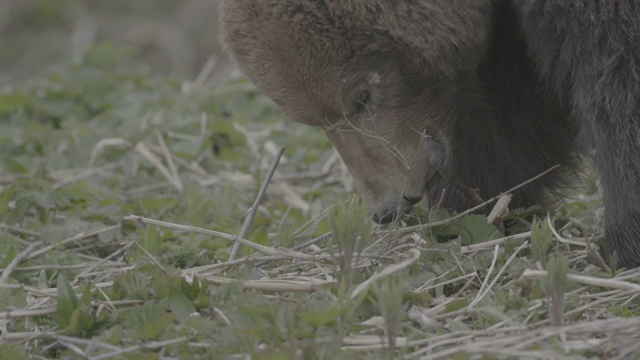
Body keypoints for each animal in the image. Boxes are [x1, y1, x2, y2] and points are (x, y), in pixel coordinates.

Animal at [220, 1, 640, 268]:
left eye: (361, 96)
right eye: (311, 119)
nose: (385, 208)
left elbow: (617, 69)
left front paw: (623, 243)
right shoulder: (503, 37)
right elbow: (512, 120)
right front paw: (469, 213)